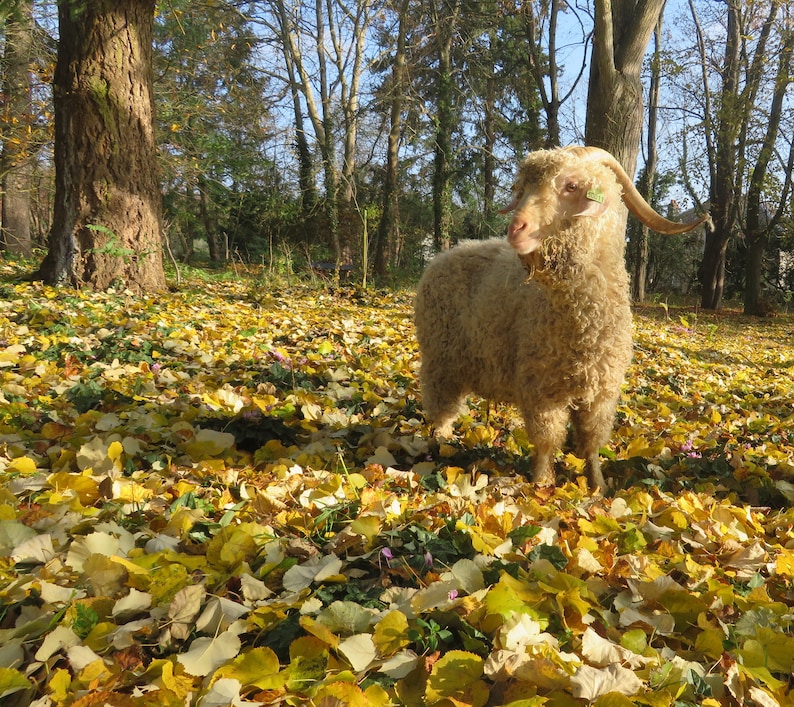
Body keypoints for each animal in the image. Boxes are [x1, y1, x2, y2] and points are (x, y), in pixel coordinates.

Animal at [414, 147, 704, 490]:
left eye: (571, 186)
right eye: (522, 189)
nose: (516, 229)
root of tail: (445, 255)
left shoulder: (601, 393)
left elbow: (591, 441)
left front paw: (597, 485)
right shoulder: (541, 388)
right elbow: (546, 439)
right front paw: (542, 484)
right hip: (440, 358)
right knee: (441, 408)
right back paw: (440, 446)